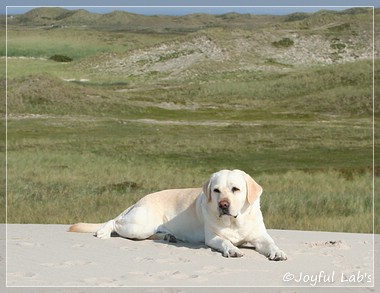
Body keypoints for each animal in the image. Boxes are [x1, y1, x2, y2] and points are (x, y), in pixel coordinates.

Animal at [70, 168, 286, 258]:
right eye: (216, 190)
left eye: (235, 189)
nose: (223, 205)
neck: (235, 222)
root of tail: (138, 200)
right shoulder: (212, 238)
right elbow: (225, 242)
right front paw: (232, 249)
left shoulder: (260, 236)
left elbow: (271, 243)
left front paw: (278, 252)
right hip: (139, 225)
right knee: (114, 221)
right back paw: (103, 231)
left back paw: (167, 236)